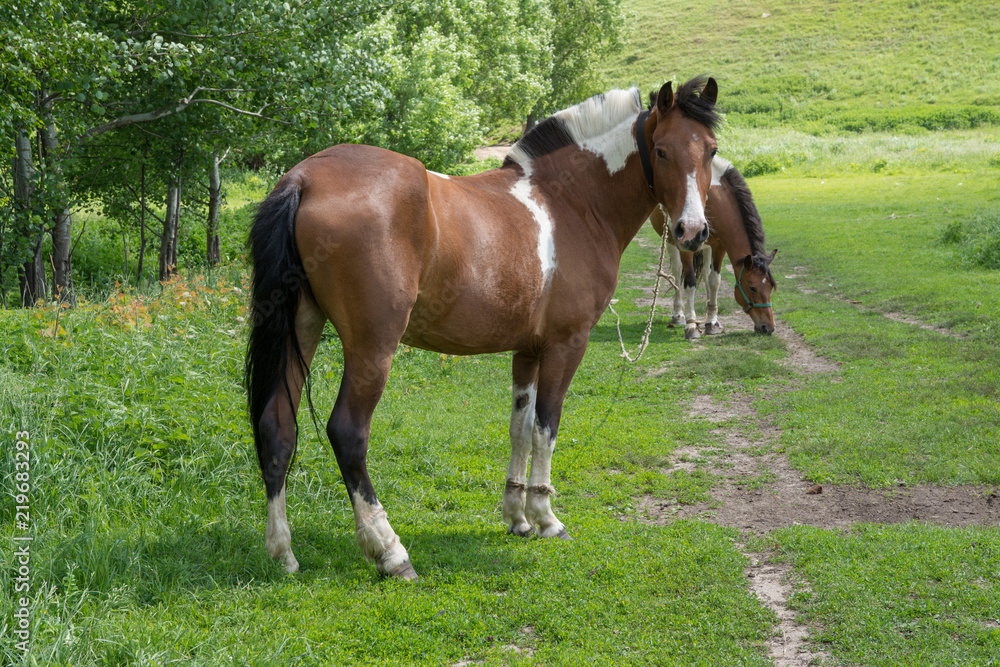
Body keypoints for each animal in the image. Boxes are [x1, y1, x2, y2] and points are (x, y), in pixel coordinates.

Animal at [246, 77, 724, 580]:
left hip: (303, 327)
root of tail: (305, 178)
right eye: (662, 150)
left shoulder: (528, 350)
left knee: (276, 426)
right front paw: (546, 518)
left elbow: (519, 427)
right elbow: (546, 428)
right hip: (372, 347)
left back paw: (282, 552)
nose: (692, 231)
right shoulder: (566, 345)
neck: (570, 202)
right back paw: (390, 551)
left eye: (710, 150)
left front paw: (517, 517)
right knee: (348, 433)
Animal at [648, 158, 780, 340]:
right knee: (677, 271)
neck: (713, 199)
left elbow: (714, 281)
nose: (768, 327)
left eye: (771, 287)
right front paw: (691, 326)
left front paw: (712, 322)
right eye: (752, 288)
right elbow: (690, 282)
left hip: (707, 247)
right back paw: (678, 315)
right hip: (670, 241)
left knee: (705, 273)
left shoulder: (719, 245)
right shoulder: (686, 247)